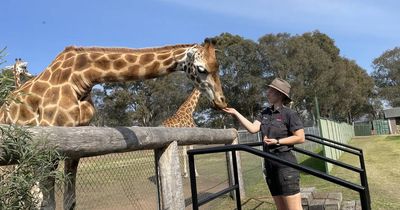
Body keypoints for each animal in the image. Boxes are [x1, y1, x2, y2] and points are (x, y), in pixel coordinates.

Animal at [0, 38, 225, 209]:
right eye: (201, 69)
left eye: (218, 66)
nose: (221, 101)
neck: (82, 78)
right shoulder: (49, 140)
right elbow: (46, 202)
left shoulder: (75, 143)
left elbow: (69, 201)